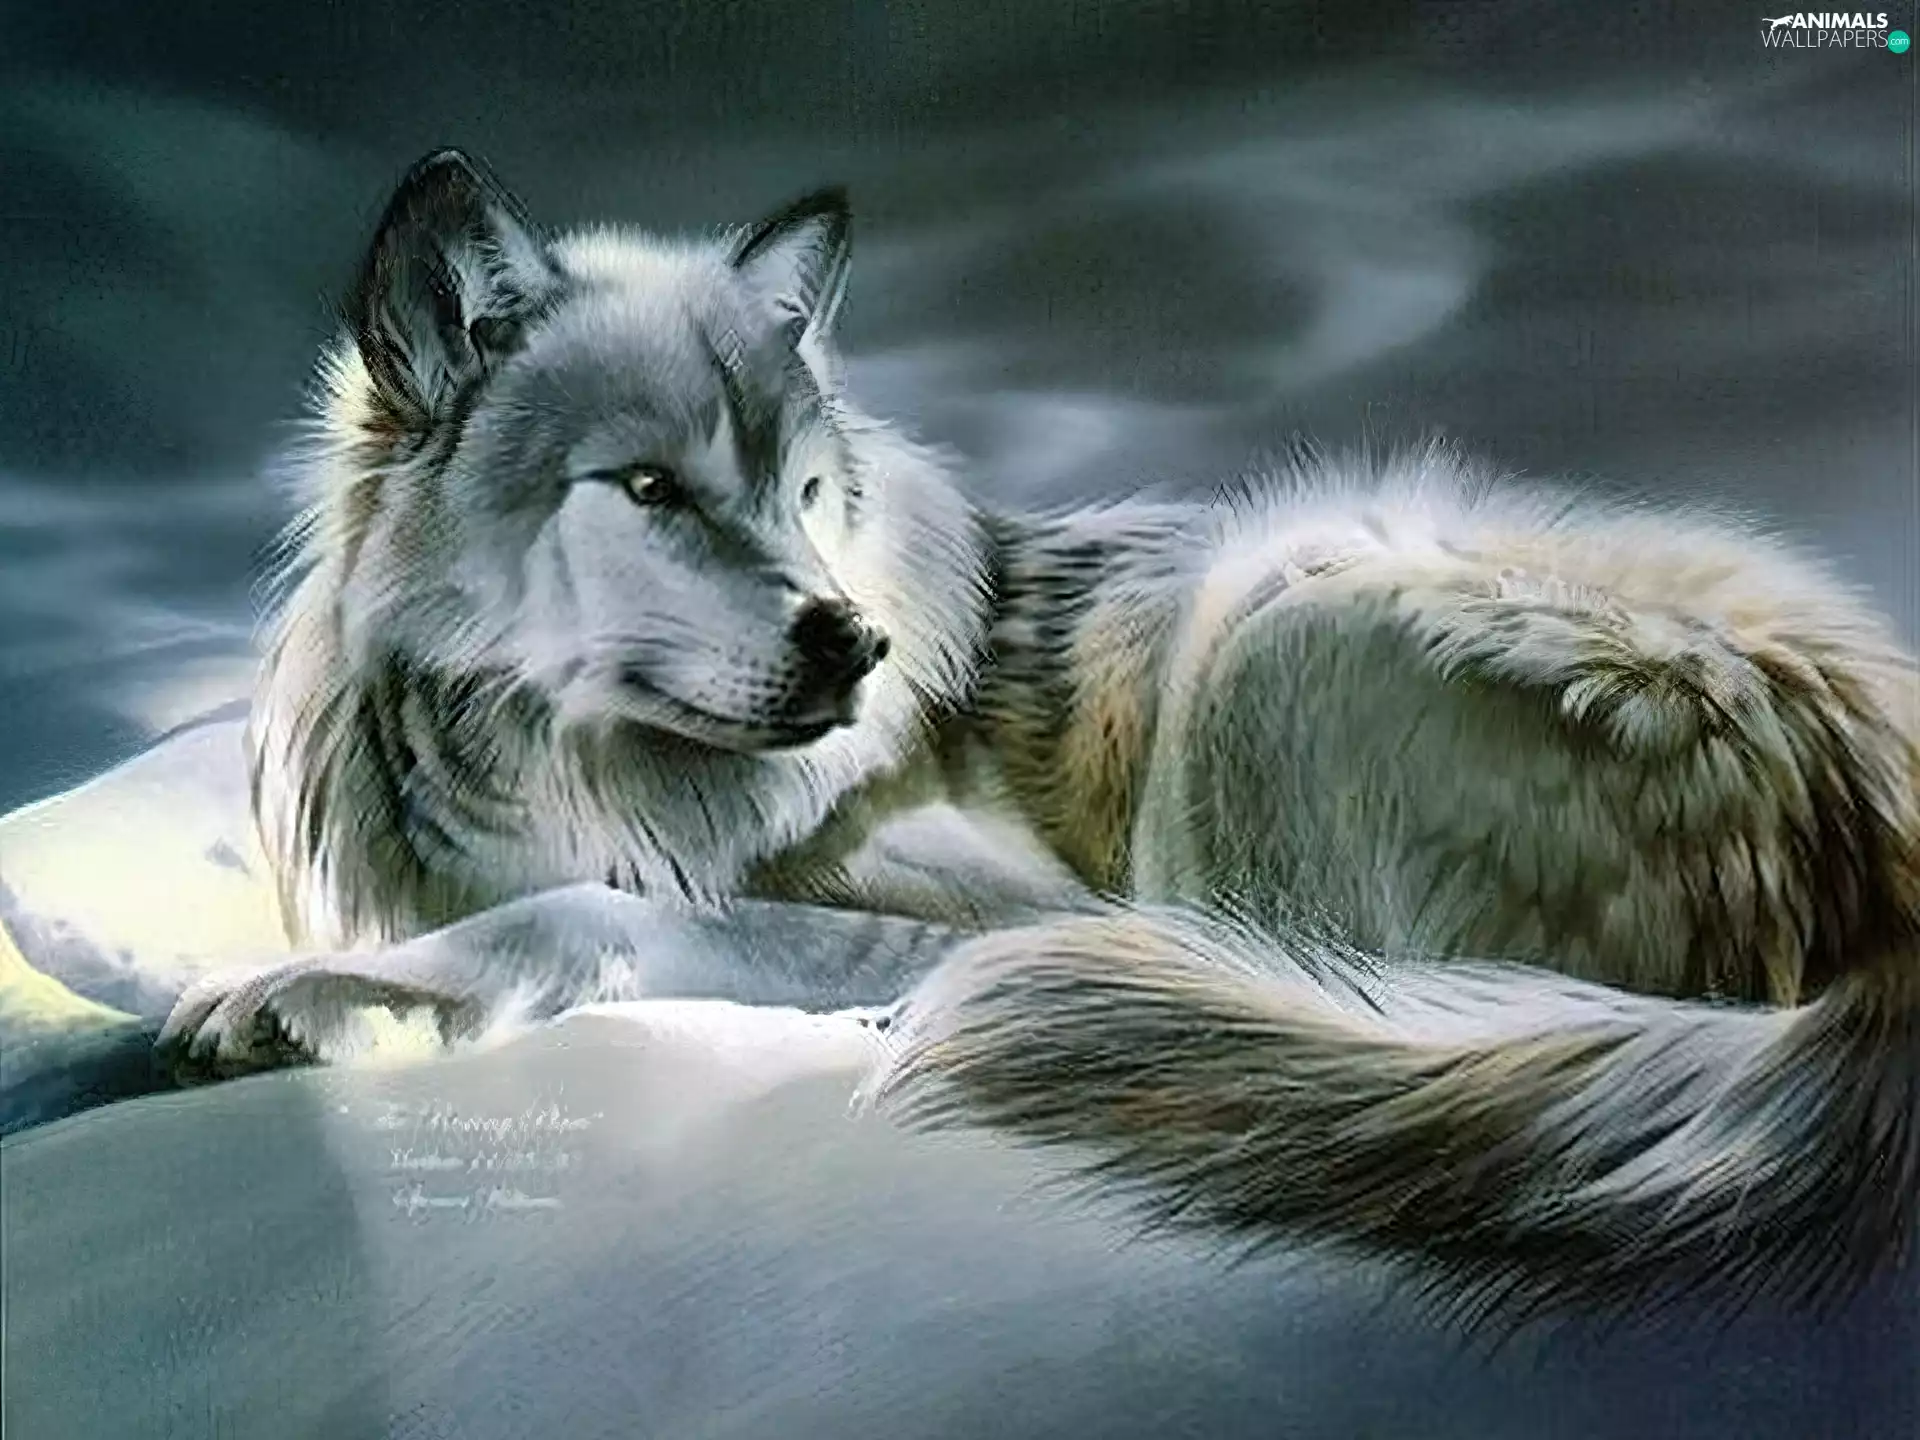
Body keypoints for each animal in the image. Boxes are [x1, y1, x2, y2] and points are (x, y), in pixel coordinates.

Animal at [4, 148, 1915, 1318]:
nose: (851, 639)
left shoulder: (1006, 909)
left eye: (804, 492)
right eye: (652, 491)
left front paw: (318, 999)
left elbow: (596, 916)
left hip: (1269, 626)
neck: (567, 777)